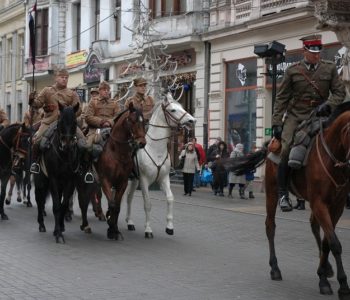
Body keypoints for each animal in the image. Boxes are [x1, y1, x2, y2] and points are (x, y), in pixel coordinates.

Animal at [33, 103, 80, 244]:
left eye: (75, 122)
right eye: (60, 121)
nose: (67, 145)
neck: (64, 155)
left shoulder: (70, 181)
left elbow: (63, 205)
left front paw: (59, 229)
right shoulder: (53, 179)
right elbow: (56, 206)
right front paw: (58, 234)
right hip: (41, 181)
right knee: (39, 200)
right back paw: (41, 224)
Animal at [76, 104, 146, 240]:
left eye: (144, 121)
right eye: (132, 120)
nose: (142, 143)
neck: (117, 153)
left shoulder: (122, 183)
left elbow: (117, 207)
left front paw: (115, 230)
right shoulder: (105, 181)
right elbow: (112, 205)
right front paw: (110, 225)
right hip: (82, 182)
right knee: (83, 202)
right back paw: (84, 224)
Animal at [124, 91, 196, 237]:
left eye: (181, 106)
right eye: (173, 110)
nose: (192, 120)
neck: (155, 149)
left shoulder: (164, 178)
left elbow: (170, 198)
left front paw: (169, 227)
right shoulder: (144, 180)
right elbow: (147, 204)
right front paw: (148, 229)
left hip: (133, 180)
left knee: (129, 198)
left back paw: (130, 222)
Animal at [224, 102, 350, 298]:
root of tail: (271, 144)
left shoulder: (337, 206)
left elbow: (328, 242)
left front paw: (325, 275)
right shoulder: (320, 203)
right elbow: (334, 243)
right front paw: (340, 285)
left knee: (313, 226)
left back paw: (327, 268)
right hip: (272, 191)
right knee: (270, 226)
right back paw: (275, 268)